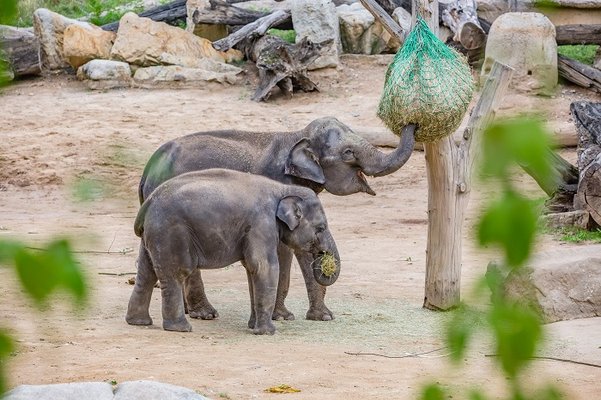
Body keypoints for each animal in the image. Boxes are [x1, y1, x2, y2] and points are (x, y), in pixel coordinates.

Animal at [124, 169, 340, 334]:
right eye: (321, 228)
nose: (324, 259)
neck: (283, 189)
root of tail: (148, 203)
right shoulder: (261, 223)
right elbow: (263, 266)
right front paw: (267, 332)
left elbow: (251, 269)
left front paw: (253, 327)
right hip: (170, 232)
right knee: (175, 273)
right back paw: (180, 328)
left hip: (153, 235)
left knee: (146, 273)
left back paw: (139, 322)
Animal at [138, 116, 414, 322]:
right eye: (348, 153)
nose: (413, 123)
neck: (297, 136)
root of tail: (147, 170)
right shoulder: (280, 184)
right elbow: (285, 249)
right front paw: (286, 316)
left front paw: (319, 316)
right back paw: (204, 313)